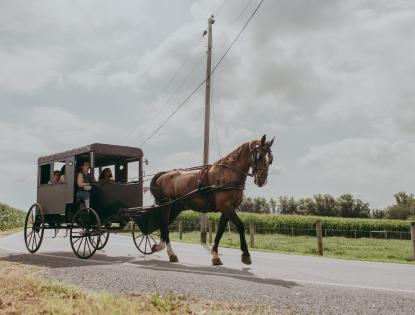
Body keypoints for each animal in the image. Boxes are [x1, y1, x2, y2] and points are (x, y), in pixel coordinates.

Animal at [150, 135, 276, 266]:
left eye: (270, 159)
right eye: (259, 156)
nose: (262, 180)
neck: (229, 174)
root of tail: (163, 175)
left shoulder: (228, 209)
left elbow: (220, 231)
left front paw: (215, 256)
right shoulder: (226, 207)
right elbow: (240, 226)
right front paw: (246, 255)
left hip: (175, 207)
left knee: (164, 224)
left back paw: (161, 248)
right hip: (165, 205)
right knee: (164, 225)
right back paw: (170, 253)